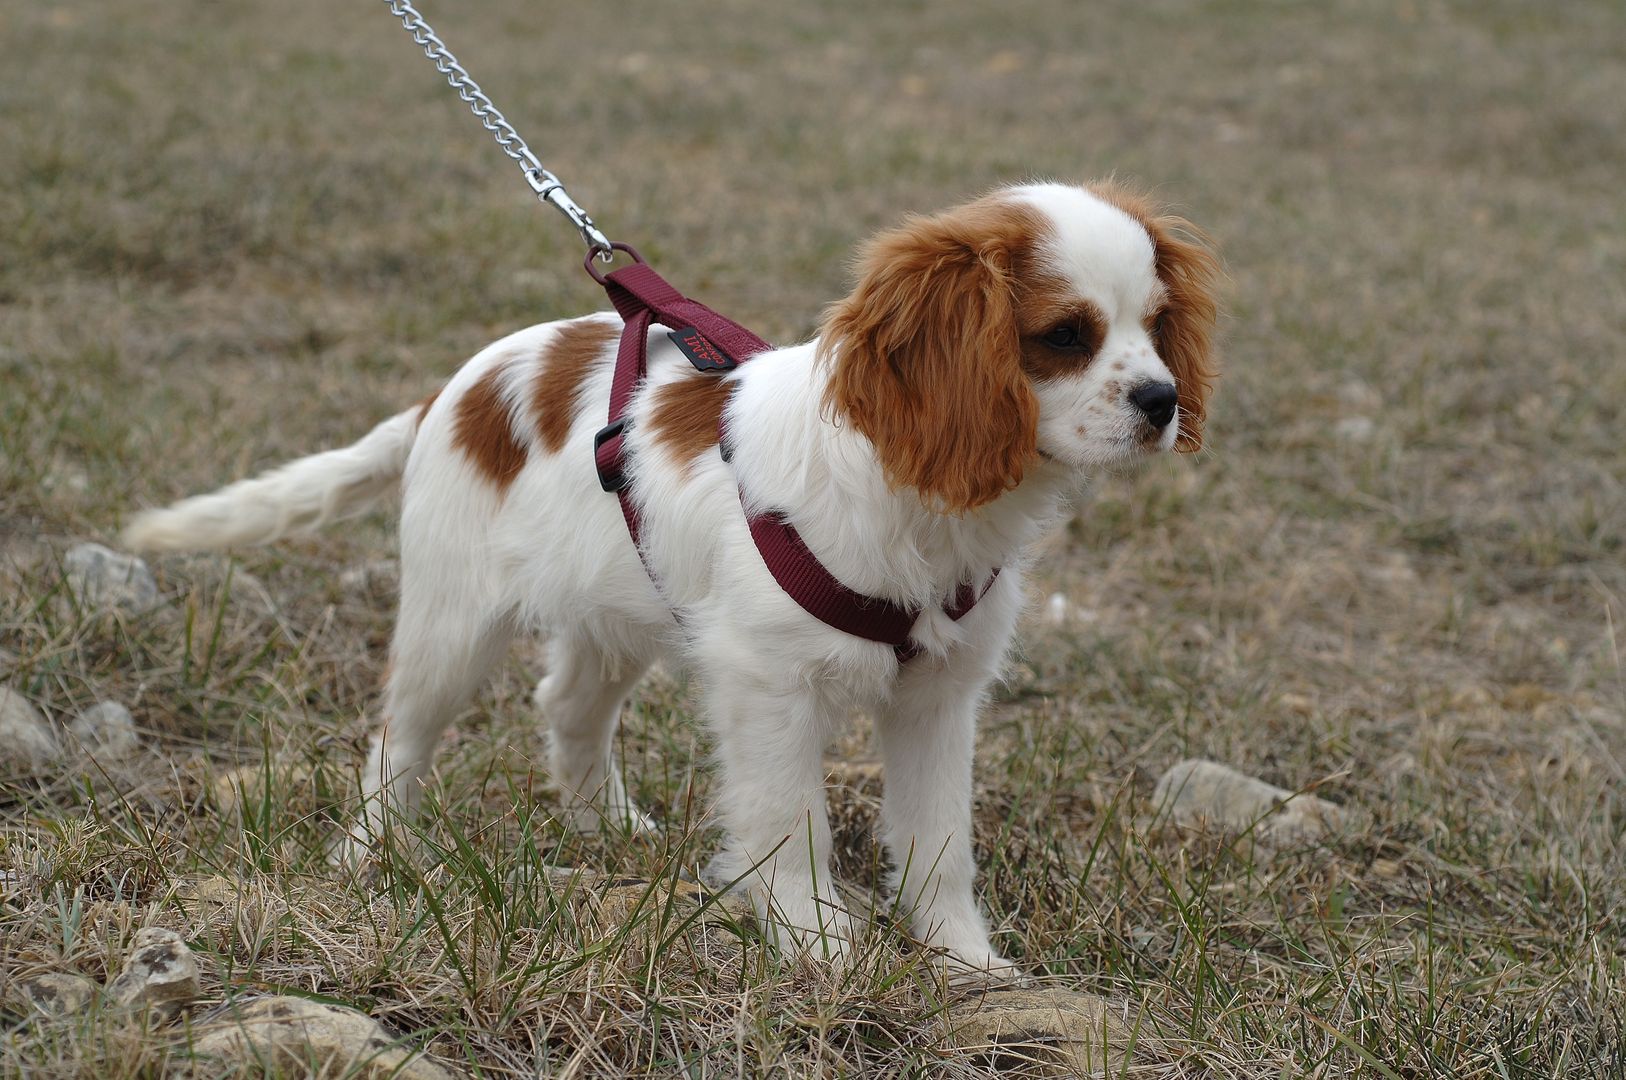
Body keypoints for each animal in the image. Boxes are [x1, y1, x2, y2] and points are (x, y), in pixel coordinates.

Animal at [130, 181, 1222, 975]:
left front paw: (964, 961)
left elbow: (939, 838)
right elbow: (789, 821)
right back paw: (372, 851)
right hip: (453, 624)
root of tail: (456, 388)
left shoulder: (938, 699)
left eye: (1156, 323)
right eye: (1066, 335)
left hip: (619, 609)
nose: (1163, 401)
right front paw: (816, 944)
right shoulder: (771, 686)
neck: (913, 489)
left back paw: (603, 826)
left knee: (568, 705)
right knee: (401, 734)